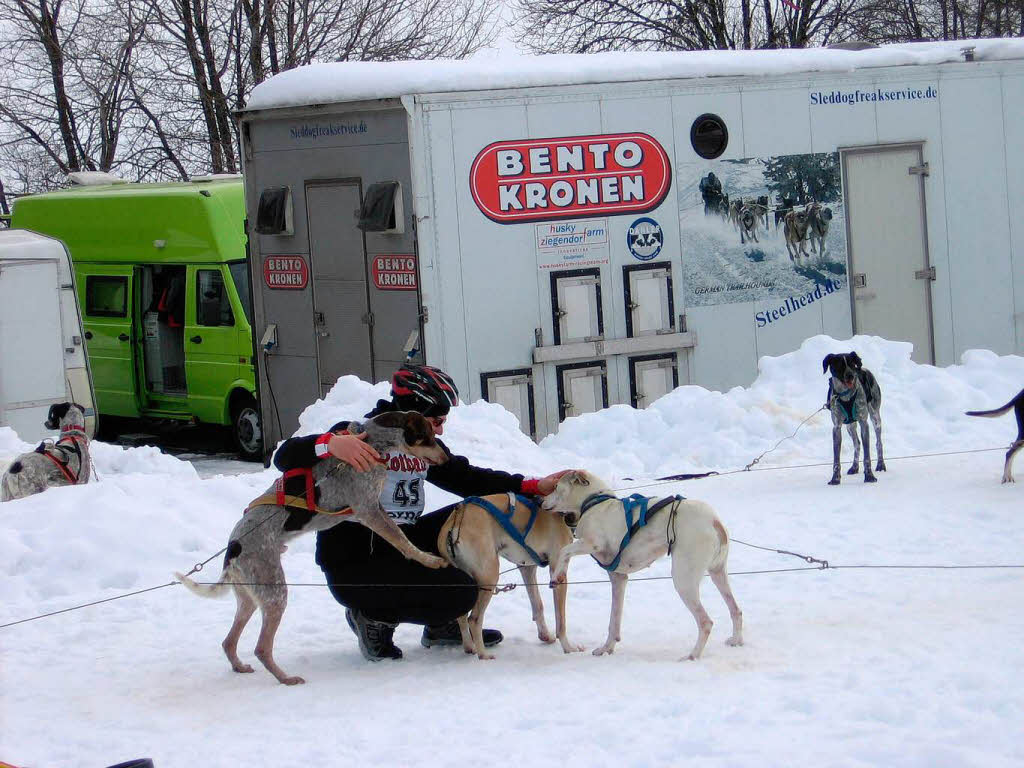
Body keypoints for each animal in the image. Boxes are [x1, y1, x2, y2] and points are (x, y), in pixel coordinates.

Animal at [177, 411, 448, 688]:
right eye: (428, 436)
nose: (446, 457)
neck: (372, 442)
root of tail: (233, 547)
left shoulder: (373, 509)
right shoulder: (368, 511)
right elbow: (402, 539)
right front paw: (427, 559)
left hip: (250, 599)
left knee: (229, 641)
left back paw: (240, 666)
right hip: (275, 594)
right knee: (261, 648)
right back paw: (286, 678)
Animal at [438, 493, 585, 663]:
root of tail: (457, 518)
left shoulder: (527, 568)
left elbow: (538, 605)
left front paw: (545, 635)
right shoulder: (558, 574)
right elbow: (561, 622)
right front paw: (569, 648)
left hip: (465, 583)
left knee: (462, 615)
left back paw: (470, 647)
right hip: (489, 577)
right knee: (473, 619)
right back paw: (483, 654)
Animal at [544, 468, 745, 663]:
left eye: (556, 486)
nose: (541, 501)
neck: (593, 503)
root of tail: (714, 521)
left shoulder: (592, 543)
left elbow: (565, 551)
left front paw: (556, 576)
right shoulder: (618, 578)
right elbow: (614, 621)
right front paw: (607, 648)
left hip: (683, 581)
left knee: (705, 622)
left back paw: (692, 656)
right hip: (718, 574)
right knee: (736, 610)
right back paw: (736, 640)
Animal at [819, 352, 884, 483]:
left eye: (852, 364)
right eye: (839, 364)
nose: (850, 375)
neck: (845, 394)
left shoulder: (864, 423)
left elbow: (867, 456)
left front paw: (869, 476)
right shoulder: (836, 427)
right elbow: (836, 459)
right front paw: (835, 479)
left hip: (875, 418)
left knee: (878, 442)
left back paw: (880, 465)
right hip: (850, 426)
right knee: (857, 444)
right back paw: (854, 467)